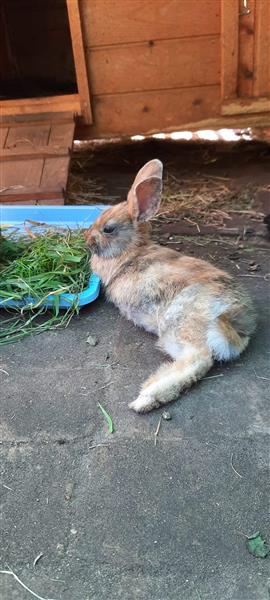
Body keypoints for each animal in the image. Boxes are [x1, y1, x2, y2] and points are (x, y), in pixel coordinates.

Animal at [85, 158, 256, 412]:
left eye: (108, 229)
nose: (86, 240)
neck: (132, 249)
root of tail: (233, 319)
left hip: (179, 323)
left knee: (199, 359)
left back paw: (145, 398)